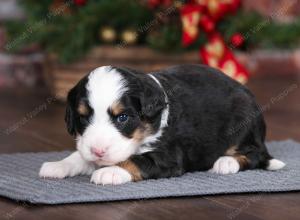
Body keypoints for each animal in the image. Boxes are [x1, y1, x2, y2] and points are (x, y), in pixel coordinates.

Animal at [39, 64, 286, 185]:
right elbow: (80, 155)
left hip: (244, 124)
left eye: (122, 118)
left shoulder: (168, 156)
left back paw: (226, 162)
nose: (98, 151)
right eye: (83, 118)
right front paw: (59, 165)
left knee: (254, 154)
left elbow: (136, 160)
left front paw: (110, 172)